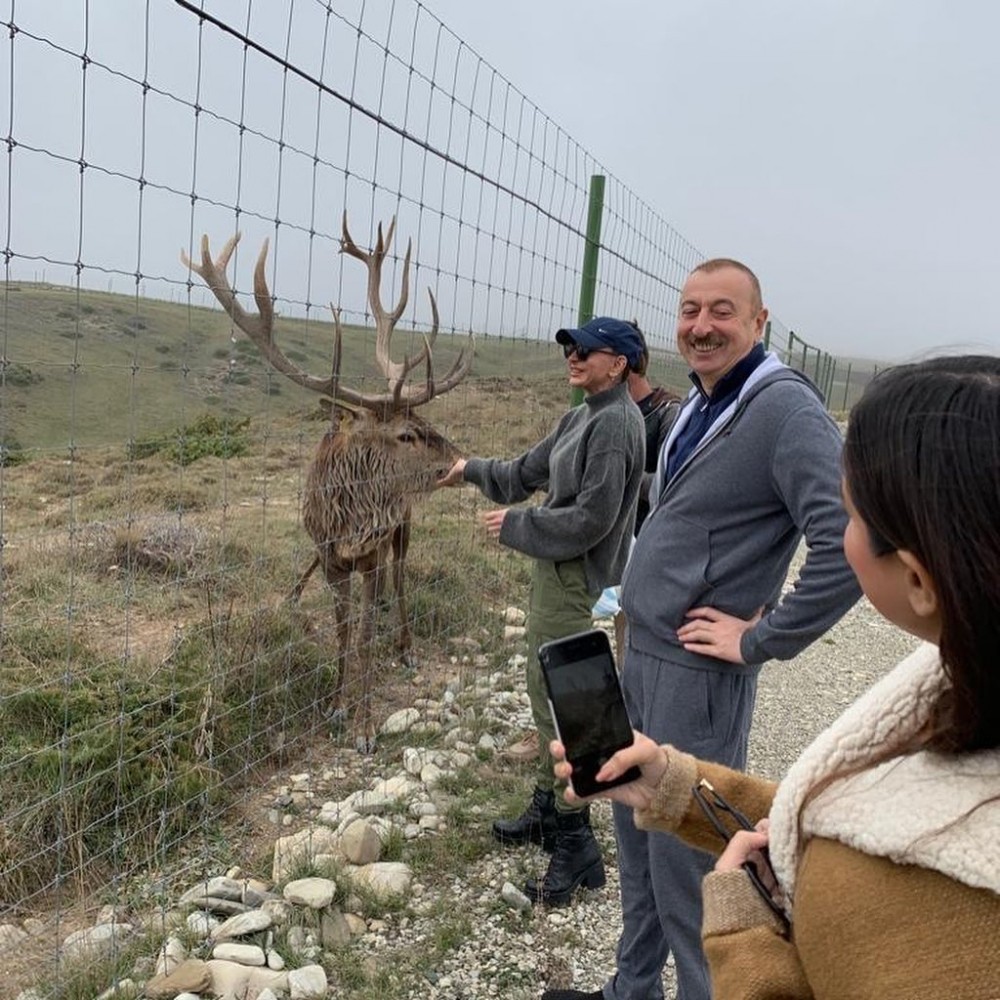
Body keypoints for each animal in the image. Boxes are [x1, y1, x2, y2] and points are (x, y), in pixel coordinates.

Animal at [184, 213, 472, 752]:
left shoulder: (371, 554)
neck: (347, 521)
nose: (459, 459)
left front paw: (363, 724)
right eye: (406, 433)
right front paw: (338, 706)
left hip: (404, 524)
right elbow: (342, 630)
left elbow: (363, 633)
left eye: (424, 422)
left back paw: (405, 645)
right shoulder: (332, 557)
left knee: (402, 576)